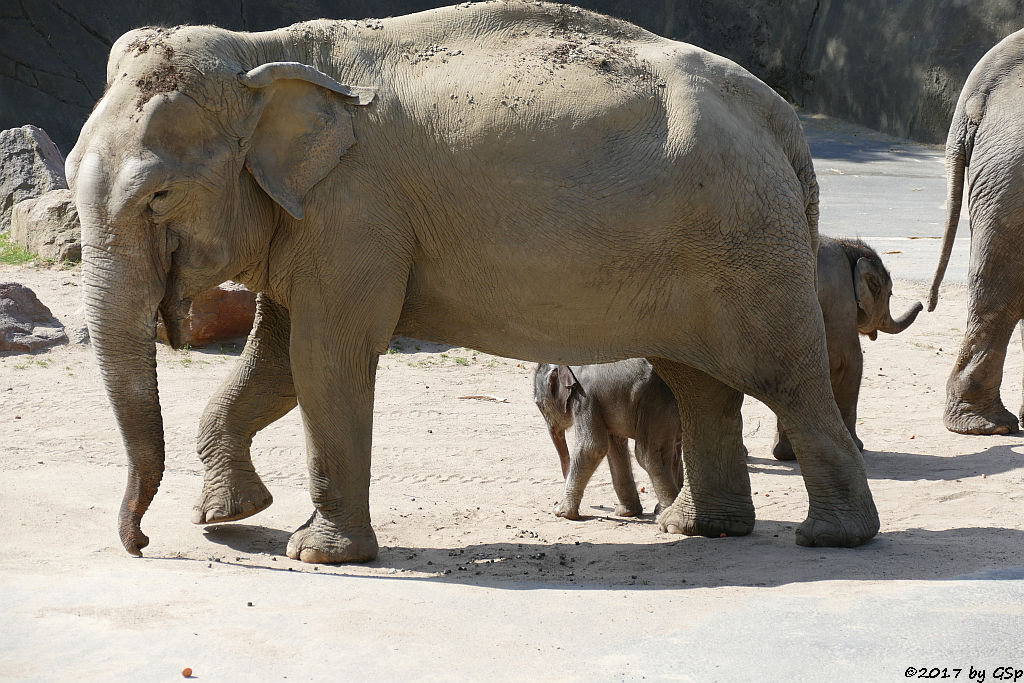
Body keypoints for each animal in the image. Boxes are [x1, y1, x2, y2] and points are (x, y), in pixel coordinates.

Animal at [532, 358, 684, 518]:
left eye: (540, 405)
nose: (565, 475)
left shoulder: (585, 398)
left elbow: (592, 447)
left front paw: (562, 513)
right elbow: (615, 448)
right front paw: (626, 512)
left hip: (655, 404)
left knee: (649, 456)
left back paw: (664, 514)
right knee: (675, 454)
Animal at [770, 237, 925, 462]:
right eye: (890, 294)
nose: (922, 304)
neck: (847, 246)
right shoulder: (840, 302)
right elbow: (850, 362)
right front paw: (857, 447)